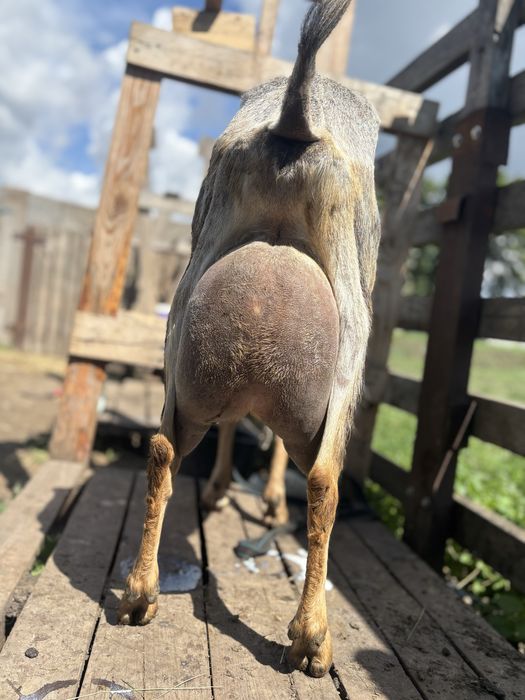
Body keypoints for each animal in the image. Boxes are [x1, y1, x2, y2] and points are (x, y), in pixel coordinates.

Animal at [119, 0, 380, 678]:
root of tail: (294, 120)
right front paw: (261, 501)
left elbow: (233, 426)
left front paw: (219, 489)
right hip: (349, 345)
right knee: (323, 478)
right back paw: (311, 639)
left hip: (185, 335)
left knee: (163, 448)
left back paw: (140, 593)